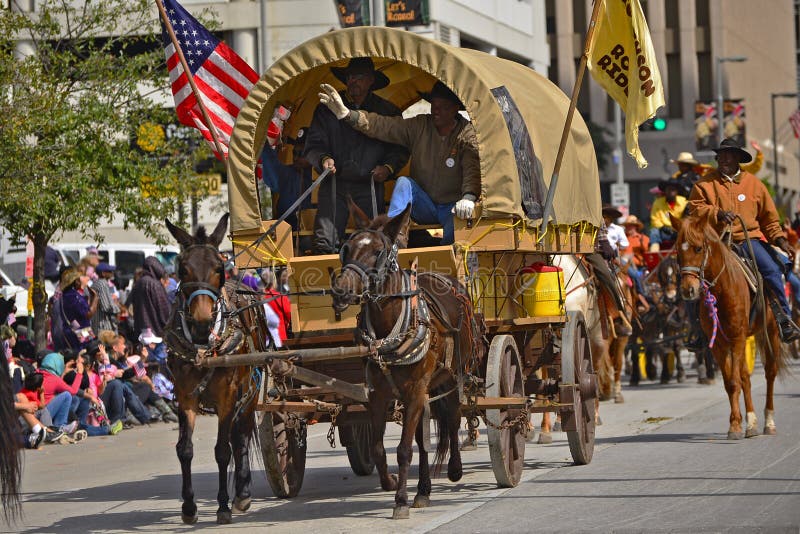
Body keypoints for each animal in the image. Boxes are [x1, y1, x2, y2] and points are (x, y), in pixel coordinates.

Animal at [165, 216, 266, 524]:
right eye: (182, 268)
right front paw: (189, 507)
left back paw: (242, 495)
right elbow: (184, 450)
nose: (201, 321)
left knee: (241, 438)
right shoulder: (185, 396)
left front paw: (223, 505)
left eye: (219, 268)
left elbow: (223, 451)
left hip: (249, 393)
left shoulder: (228, 396)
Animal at [330, 203, 484, 520]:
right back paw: (423, 491)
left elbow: (402, 449)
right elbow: (379, 447)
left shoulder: (415, 390)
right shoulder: (378, 394)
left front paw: (400, 500)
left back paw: (454, 470)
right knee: (423, 441)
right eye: (346, 249)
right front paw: (390, 483)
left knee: (452, 419)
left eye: (378, 251)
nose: (340, 291)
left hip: (451, 376)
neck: (388, 331)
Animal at [676, 214, 788, 440]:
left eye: (698, 248)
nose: (688, 290)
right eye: (677, 253)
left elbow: (736, 380)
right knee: (745, 377)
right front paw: (736, 424)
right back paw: (751, 423)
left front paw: (737, 426)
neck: (722, 290)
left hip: (770, 332)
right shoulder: (720, 344)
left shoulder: (737, 338)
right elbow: (731, 383)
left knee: (770, 373)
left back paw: (768, 422)